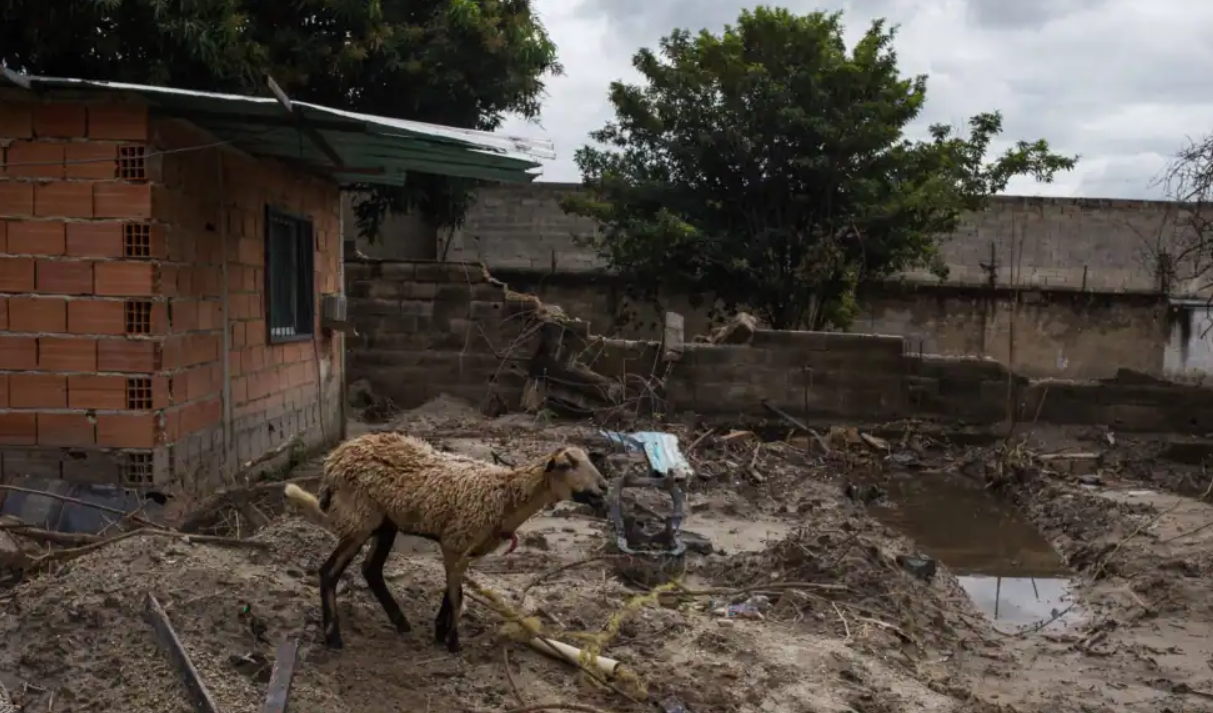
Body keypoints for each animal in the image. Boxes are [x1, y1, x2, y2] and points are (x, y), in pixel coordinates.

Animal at [281, 431, 606, 654]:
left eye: (590, 460)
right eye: (568, 464)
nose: (602, 487)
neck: (504, 497)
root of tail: (334, 461)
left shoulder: (460, 548)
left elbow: (453, 592)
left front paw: (440, 631)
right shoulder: (455, 541)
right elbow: (455, 595)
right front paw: (452, 643)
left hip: (386, 522)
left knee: (371, 569)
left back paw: (401, 622)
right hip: (361, 517)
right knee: (329, 572)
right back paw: (334, 638)